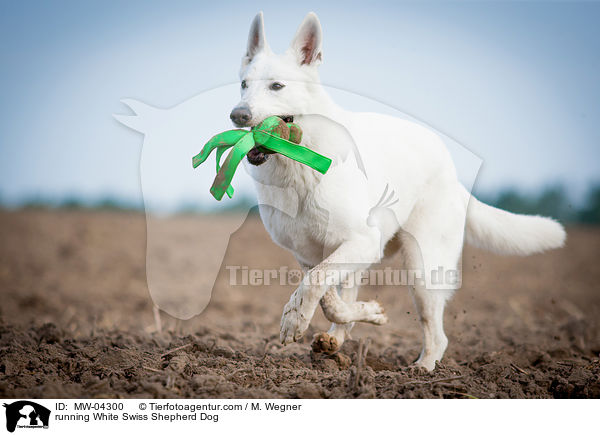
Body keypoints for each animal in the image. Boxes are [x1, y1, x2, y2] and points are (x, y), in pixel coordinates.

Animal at [232, 11, 564, 372]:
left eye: (277, 86)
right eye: (244, 84)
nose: (238, 115)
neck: (299, 163)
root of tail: (452, 173)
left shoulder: (362, 242)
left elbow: (316, 284)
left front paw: (295, 319)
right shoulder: (309, 253)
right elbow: (325, 294)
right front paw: (364, 315)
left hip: (422, 272)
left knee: (438, 333)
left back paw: (423, 369)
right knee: (347, 299)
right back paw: (338, 338)